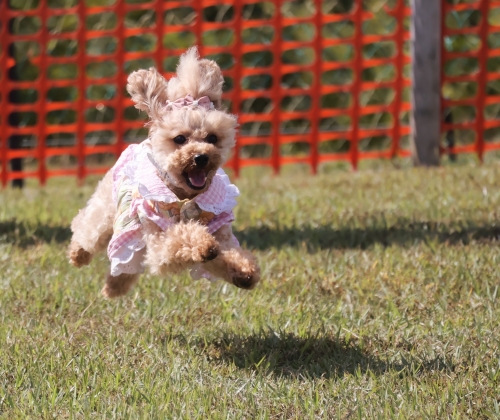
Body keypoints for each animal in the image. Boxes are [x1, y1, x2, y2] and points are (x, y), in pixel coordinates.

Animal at [68, 47, 260, 296]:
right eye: (179, 139)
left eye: (212, 138)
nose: (201, 157)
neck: (185, 197)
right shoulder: (160, 238)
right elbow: (179, 239)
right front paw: (203, 244)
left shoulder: (219, 227)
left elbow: (224, 253)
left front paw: (244, 271)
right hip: (108, 210)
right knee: (88, 228)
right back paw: (78, 255)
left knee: (126, 264)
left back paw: (114, 287)